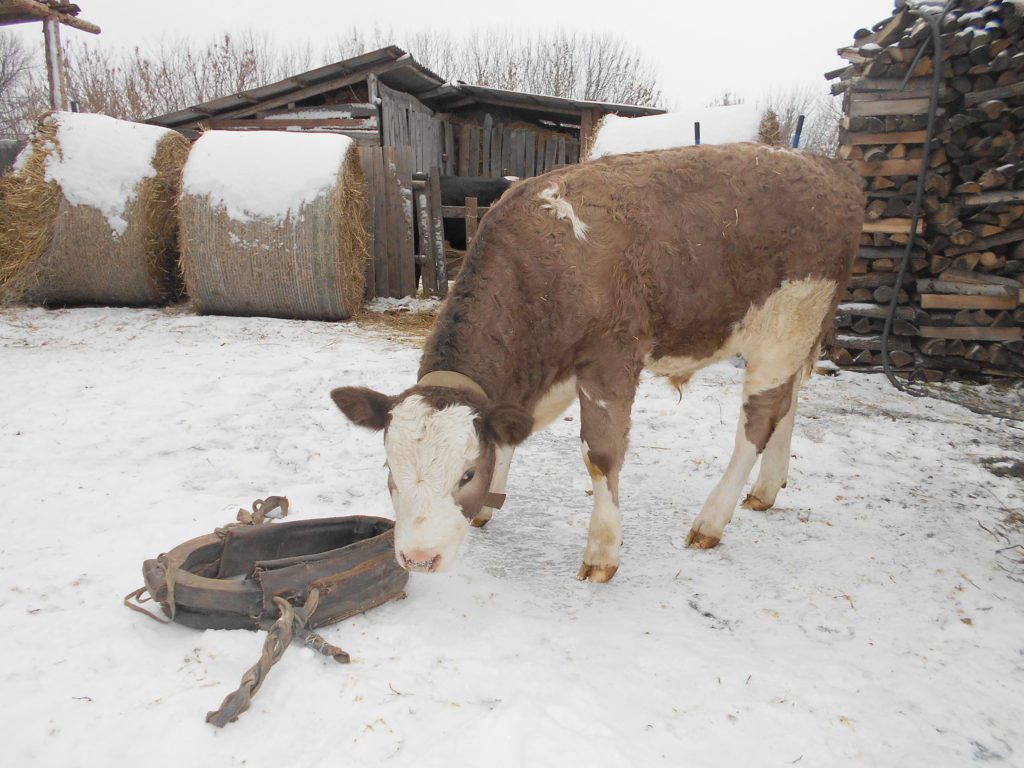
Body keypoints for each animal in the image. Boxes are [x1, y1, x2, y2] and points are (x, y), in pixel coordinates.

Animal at [333, 141, 864, 581]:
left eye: (465, 475)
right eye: (389, 469)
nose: (419, 559)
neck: (542, 261)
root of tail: (829, 166)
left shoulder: (610, 357)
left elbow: (600, 454)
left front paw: (603, 551)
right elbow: (512, 429)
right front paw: (489, 501)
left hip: (789, 319)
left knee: (758, 422)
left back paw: (712, 519)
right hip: (796, 332)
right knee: (789, 401)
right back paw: (768, 488)